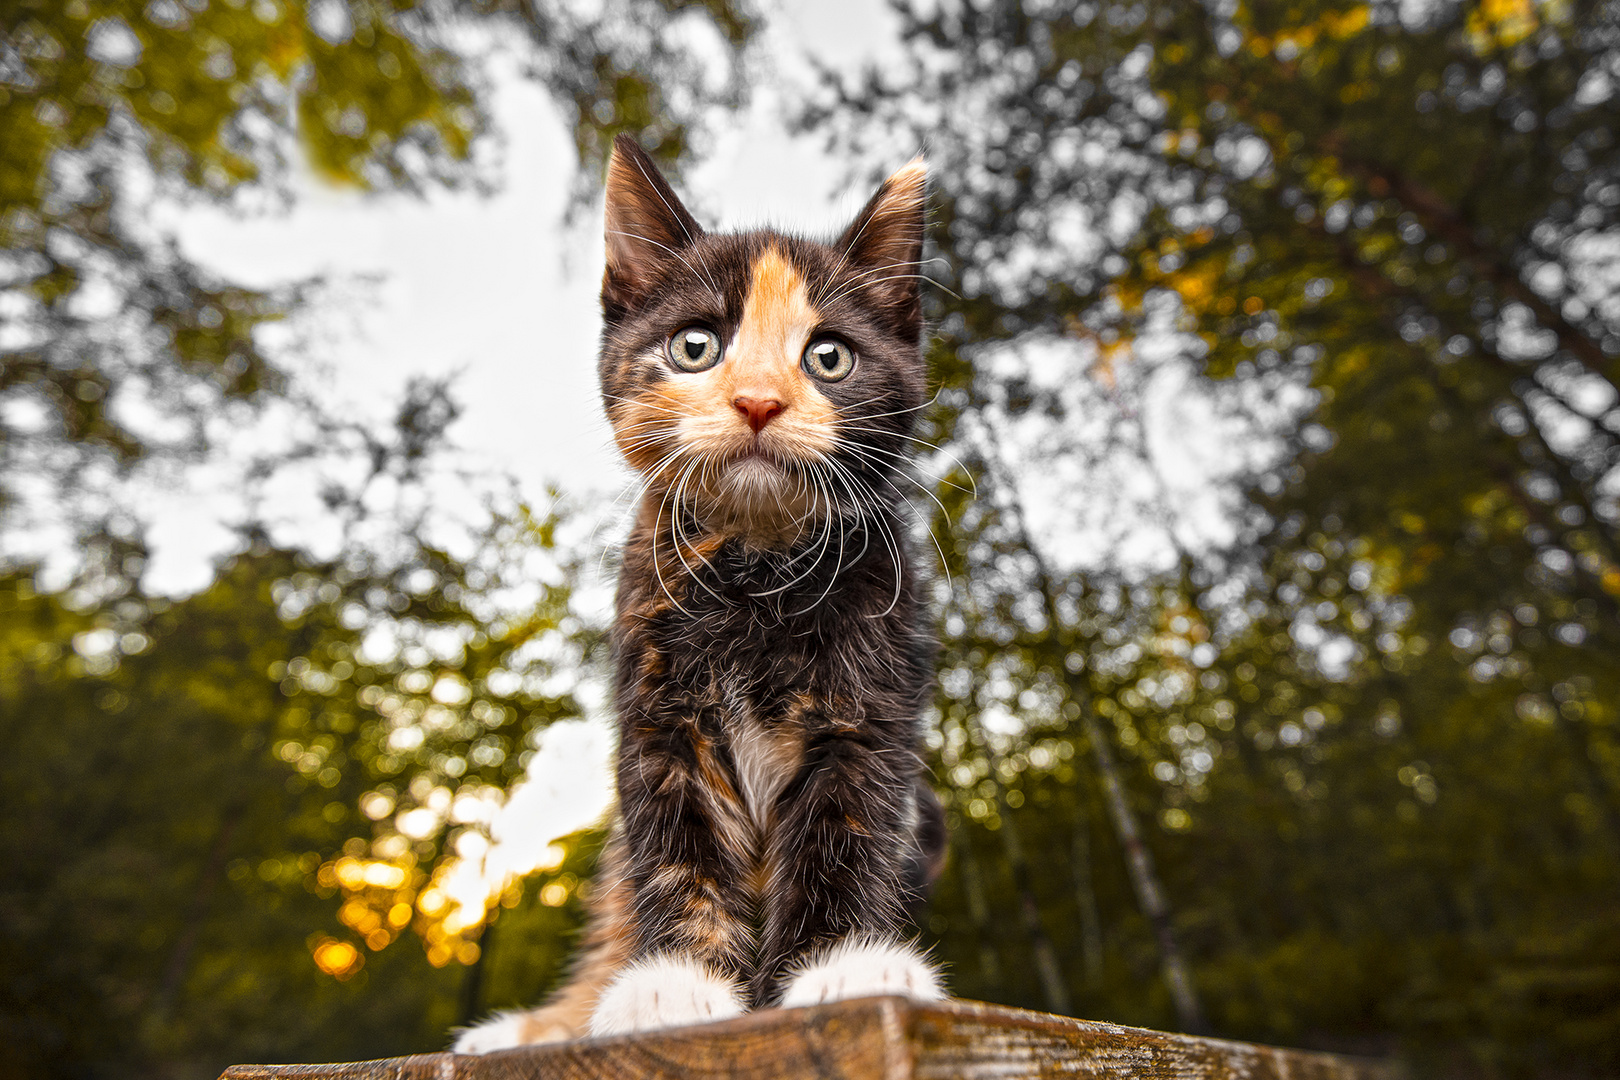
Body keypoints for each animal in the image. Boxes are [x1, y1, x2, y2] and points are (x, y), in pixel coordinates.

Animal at [450, 137, 946, 1055]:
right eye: (694, 347)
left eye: (830, 356)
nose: (758, 400)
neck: (756, 571)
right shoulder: (655, 708)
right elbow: (676, 845)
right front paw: (675, 986)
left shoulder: (874, 706)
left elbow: (845, 834)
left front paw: (844, 967)